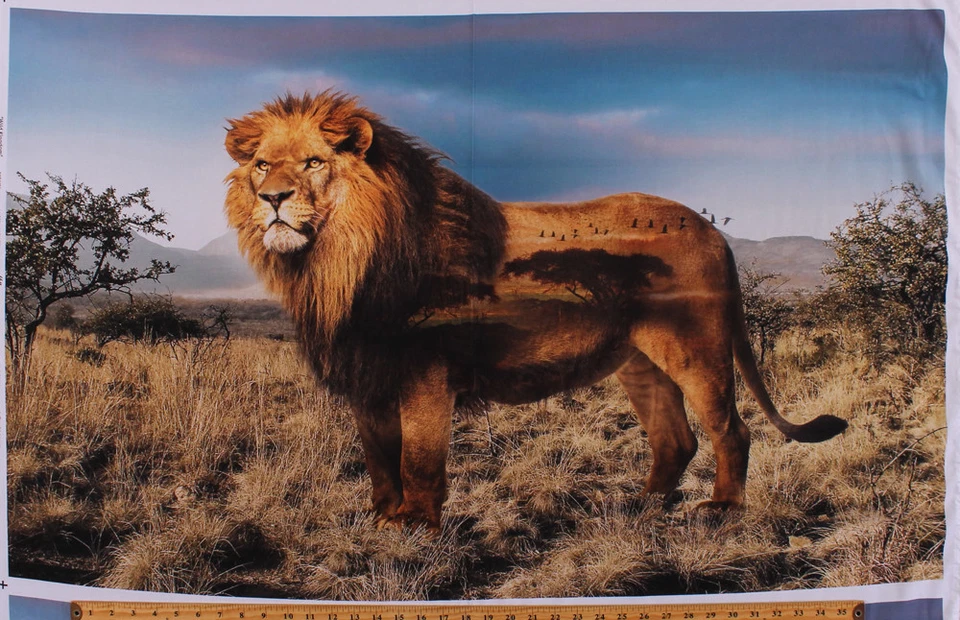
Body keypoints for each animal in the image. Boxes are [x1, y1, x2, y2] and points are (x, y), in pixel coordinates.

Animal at [224, 91, 847, 531]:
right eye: (261, 165)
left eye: (312, 163)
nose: (272, 199)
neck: (334, 263)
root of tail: (713, 231)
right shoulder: (366, 374)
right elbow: (380, 458)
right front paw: (382, 519)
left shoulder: (425, 373)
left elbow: (418, 458)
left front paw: (415, 528)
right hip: (640, 362)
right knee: (677, 439)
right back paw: (639, 505)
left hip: (697, 349)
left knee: (731, 430)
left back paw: (721, 510)